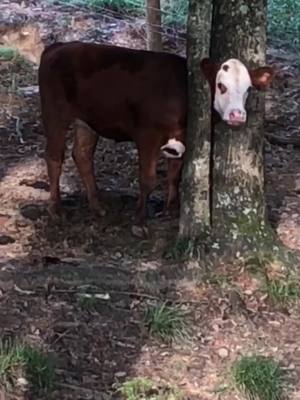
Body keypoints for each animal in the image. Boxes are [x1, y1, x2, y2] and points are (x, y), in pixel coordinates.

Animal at [38, 41, 274, 222]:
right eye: (221, 86)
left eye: (248, 89)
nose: (237, 115)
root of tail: (58, 46)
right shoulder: (147, 134)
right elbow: (148, 178)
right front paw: (140, 220)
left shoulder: (181, 136)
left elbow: (174, 174)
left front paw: (171, 209)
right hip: (54, 113)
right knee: (54, 157)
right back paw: (55, 209)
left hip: (86, 120)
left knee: (82, 155)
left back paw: (97, 206)